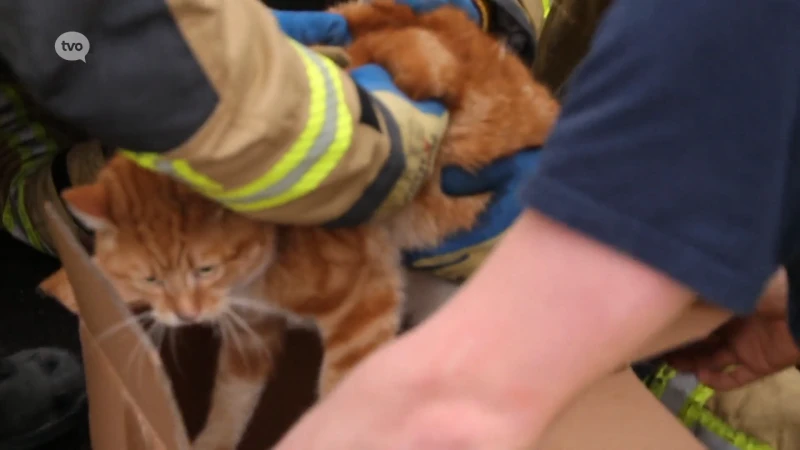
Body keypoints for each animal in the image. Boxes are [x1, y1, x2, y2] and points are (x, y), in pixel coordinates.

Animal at [40, 1, 560, 448]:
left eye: (205, 269)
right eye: (149, 279)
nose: (187, 315)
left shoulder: (364, 313)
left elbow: (342, 406)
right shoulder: (248, 334)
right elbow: (231, 400)